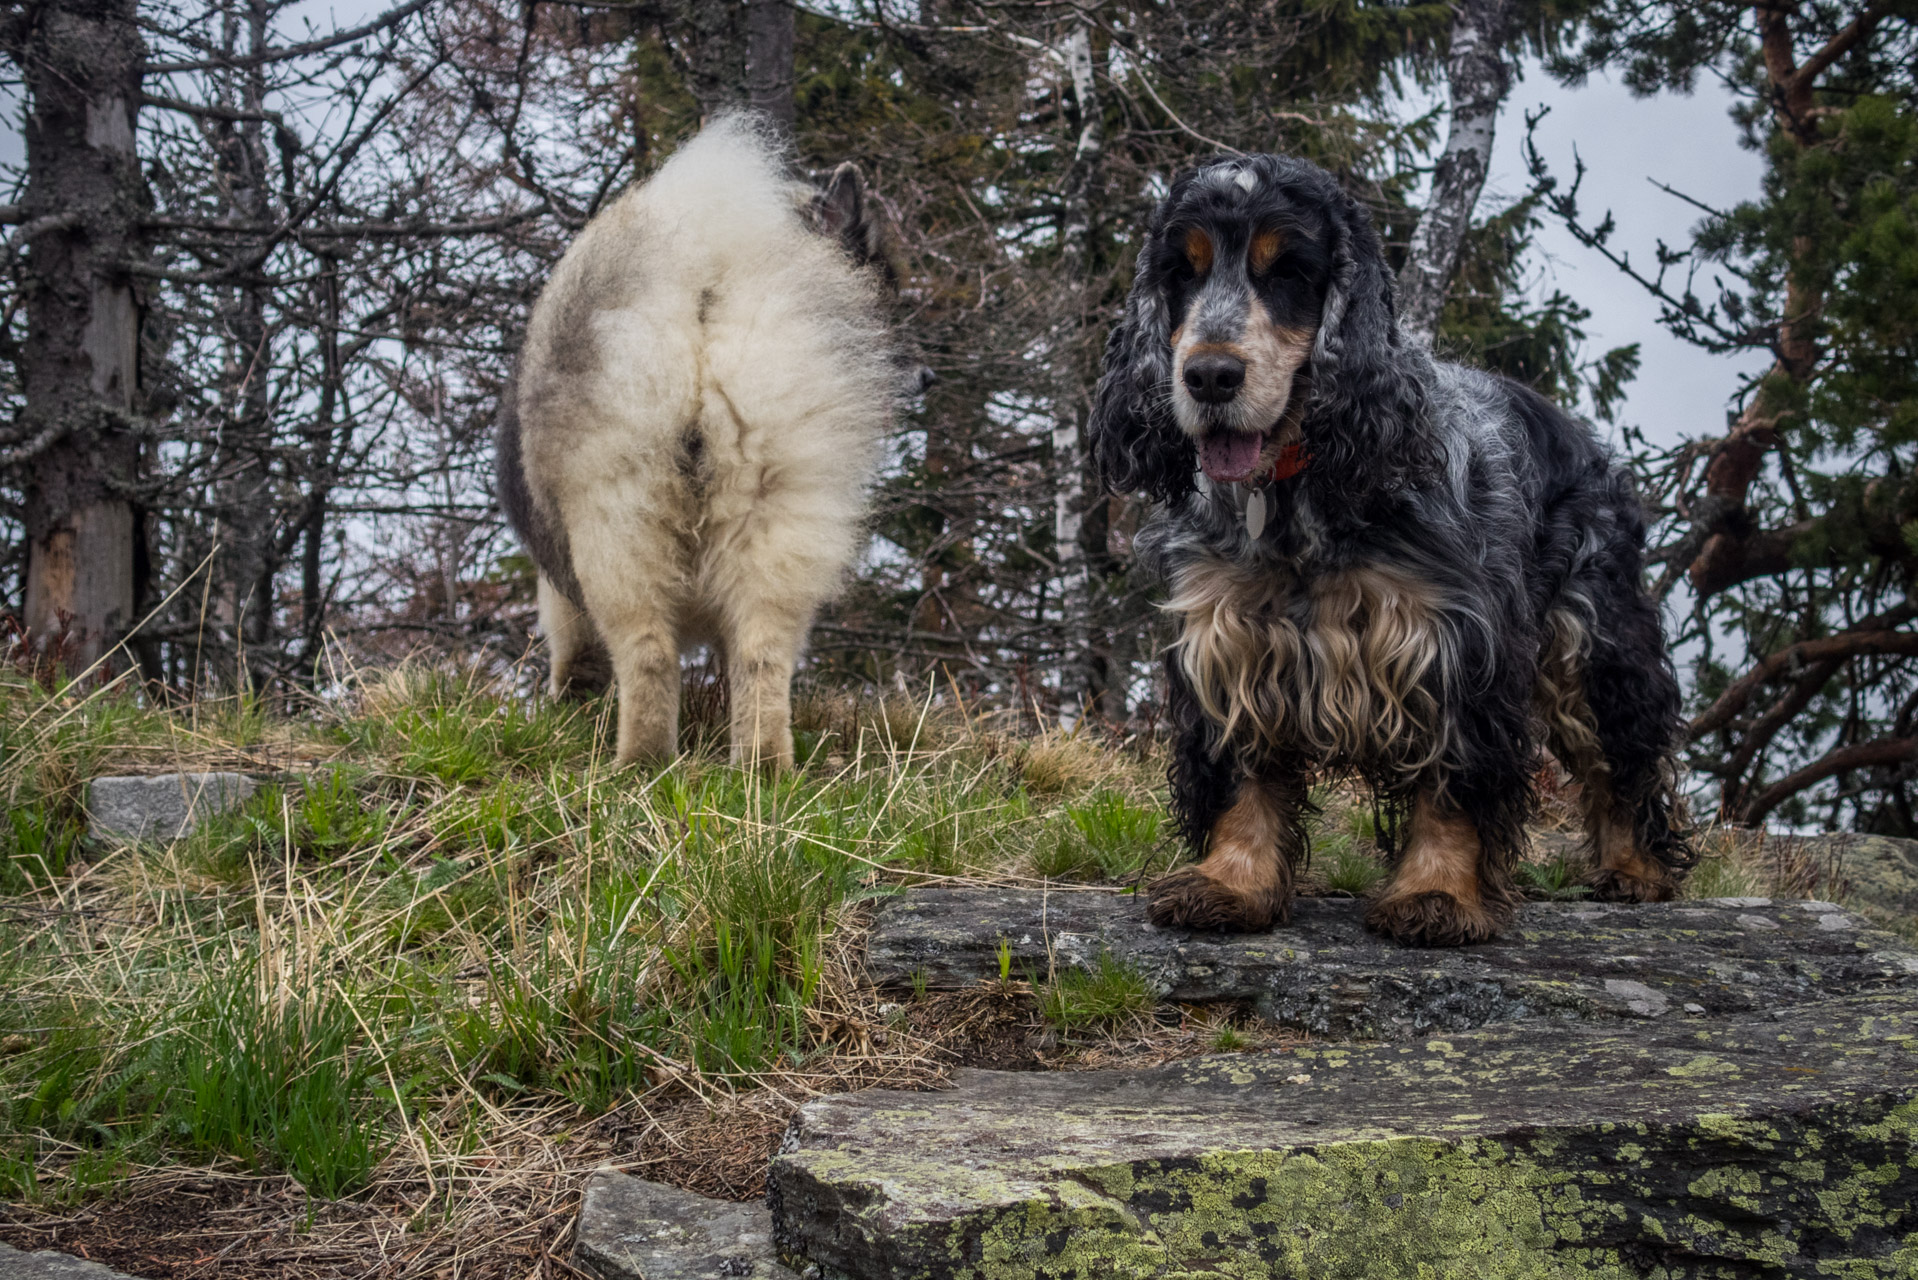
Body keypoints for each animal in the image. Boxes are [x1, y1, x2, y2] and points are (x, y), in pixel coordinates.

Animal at [498, 115, 893, 767]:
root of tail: (706, 274)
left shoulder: (559, 579)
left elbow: (573, 650)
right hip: (775, 503)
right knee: (761, 654)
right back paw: (762, 766)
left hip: (618, 507)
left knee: (647, 653)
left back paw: (639, 763)